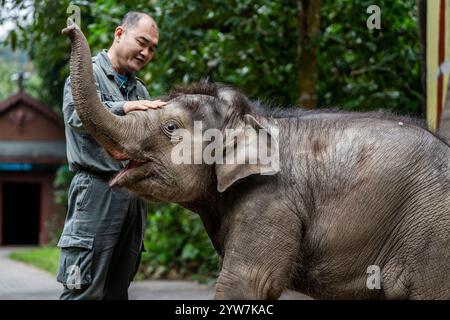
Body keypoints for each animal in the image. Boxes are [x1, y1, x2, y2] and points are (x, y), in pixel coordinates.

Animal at [62, 21, 450, 298]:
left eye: (170, 127)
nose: (69, 26)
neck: (253, 117)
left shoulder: (272, 202)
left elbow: (245, 284)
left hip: (432, 236)